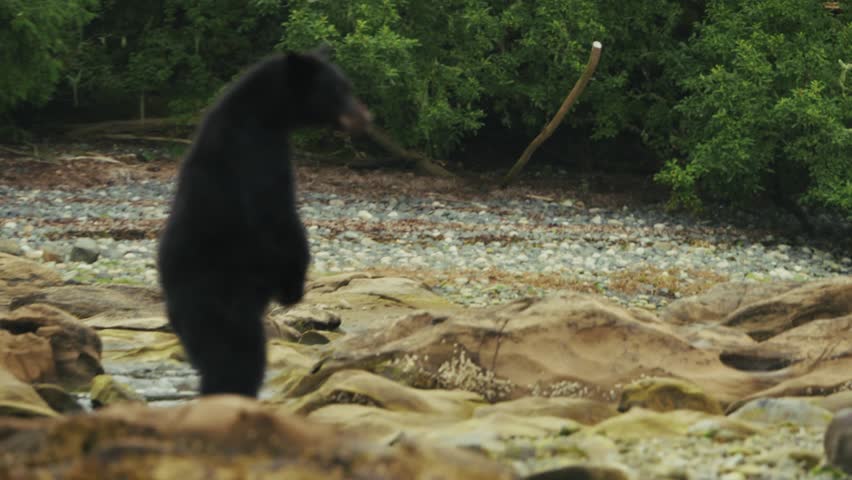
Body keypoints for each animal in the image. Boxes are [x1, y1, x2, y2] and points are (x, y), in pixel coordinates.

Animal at [157, 49, 371, 397]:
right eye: (339, 90)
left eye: (348, 86)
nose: (366, 116)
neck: (265, 110)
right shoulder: (255, 147)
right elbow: (276, 214)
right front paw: (293, 285)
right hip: (220, 297)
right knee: (239, 354)